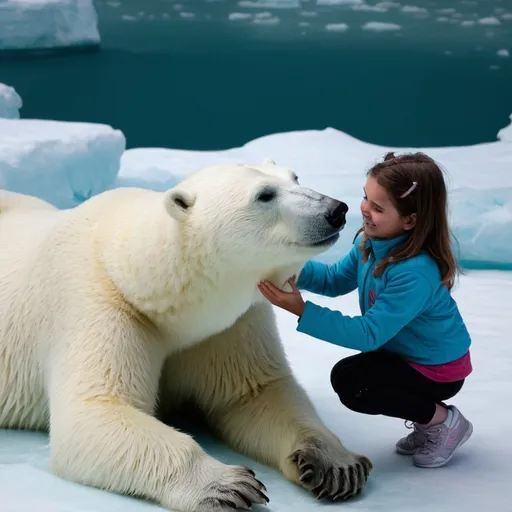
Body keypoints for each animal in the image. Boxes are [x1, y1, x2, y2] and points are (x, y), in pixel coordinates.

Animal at [0, 161, 370, 512]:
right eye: (264, 195)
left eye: (294, 177)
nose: (336, 210)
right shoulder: (98, 304)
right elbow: (96, 411)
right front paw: (227, 484)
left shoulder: (227, 328)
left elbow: (256, 393)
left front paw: (334, 464)